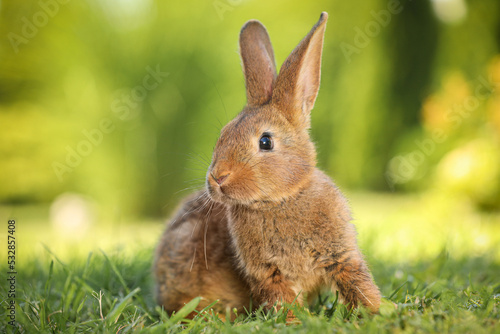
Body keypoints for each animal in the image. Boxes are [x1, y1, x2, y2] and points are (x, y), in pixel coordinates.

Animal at [154, 11, 380, 320]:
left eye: (265, 142)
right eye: (222, 135)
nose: (217, 178)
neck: (281, 200)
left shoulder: (341, 255)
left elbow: (358, 283)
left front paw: (380, 311)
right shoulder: (268, 273)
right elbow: (281, 299)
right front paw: (294, 322)